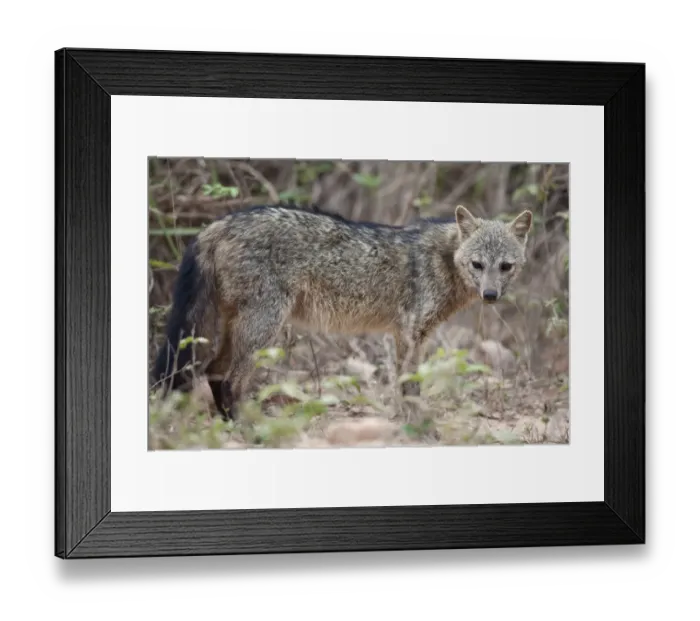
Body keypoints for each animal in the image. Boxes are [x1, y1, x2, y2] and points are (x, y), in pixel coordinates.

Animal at [152, 203, 533, 420]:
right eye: (477, 264)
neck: (444, 259)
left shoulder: (408, 336)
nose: (490, 295)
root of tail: (219, 224)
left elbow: (408, 386)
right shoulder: (410, 334)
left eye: (506, 267)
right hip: (262, 328)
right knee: (231, 380)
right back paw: (245, 428)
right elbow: (409, 387)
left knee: (213, 371)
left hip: (239, 328)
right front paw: (418, 427)